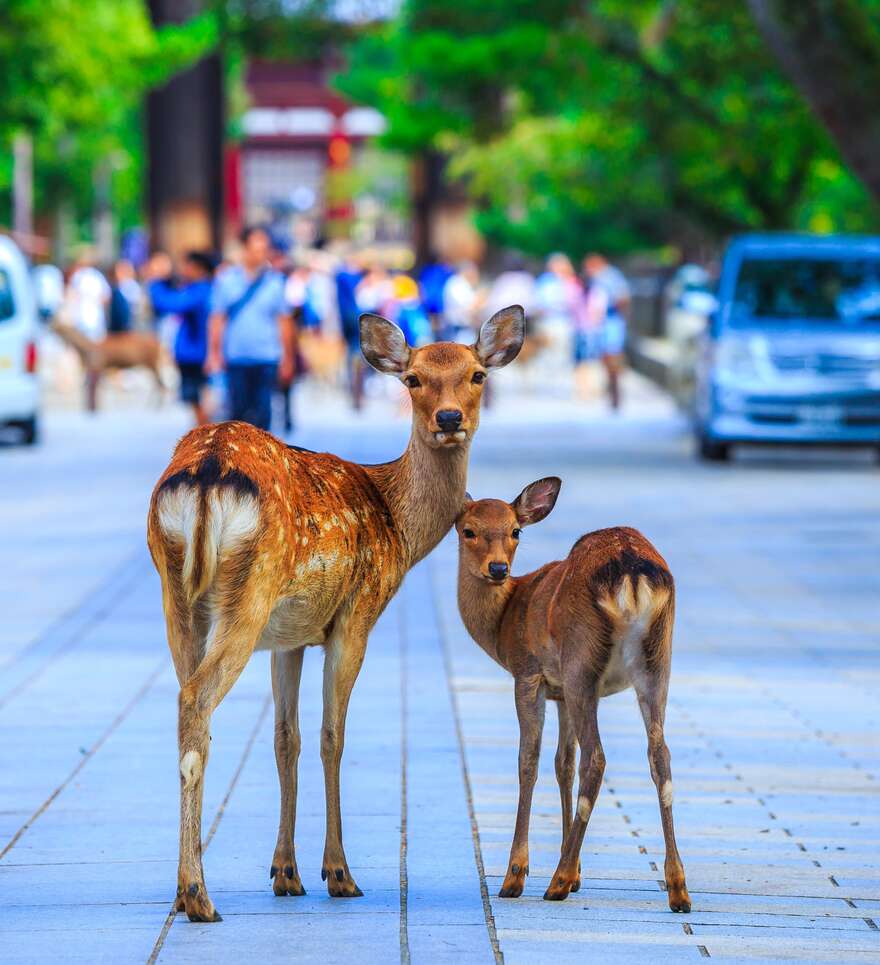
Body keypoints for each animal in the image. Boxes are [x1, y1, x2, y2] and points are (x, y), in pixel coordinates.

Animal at [144, 306, 524, 920]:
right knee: (198, 699)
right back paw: (200, 896)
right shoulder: (355, 614)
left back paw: (184, 891)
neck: (397, 525)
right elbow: (331, 735)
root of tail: (205, 473)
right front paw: (339, 874)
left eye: (476, 375)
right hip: (249, 593)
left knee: (185, 702)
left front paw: (286, 874)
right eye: (413, 378)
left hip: (176, 594)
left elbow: (286, 737)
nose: (448, 418)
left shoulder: (290, 635)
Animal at [458, 480, 692, 912]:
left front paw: (516, 875)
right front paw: (580, 872)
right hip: (657, 663)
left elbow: (529, 761)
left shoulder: (529, 673)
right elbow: (562, 763)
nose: (497, 569)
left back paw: (557, 881)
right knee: (659, 756)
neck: (505, 621)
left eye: (516, 531)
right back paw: (678, 888)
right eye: (468, 530)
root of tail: (631, 568)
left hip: (582, 661)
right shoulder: (562, 693)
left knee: (596, 758)